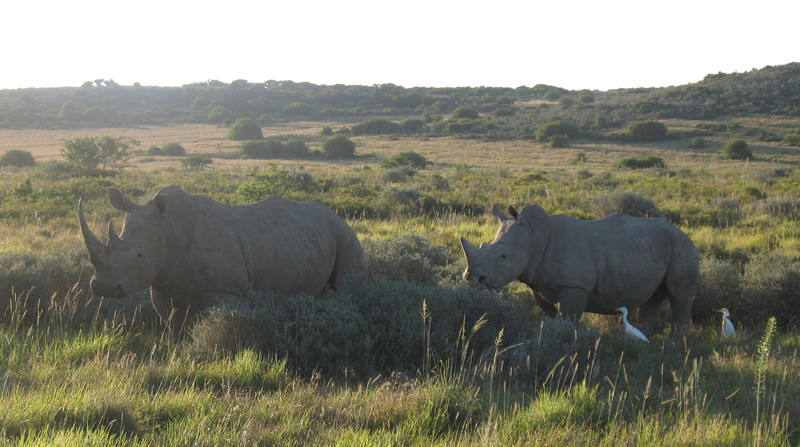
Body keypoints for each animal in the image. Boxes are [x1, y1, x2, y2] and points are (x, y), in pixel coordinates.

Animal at [79, 185, 368, 336]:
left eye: (139, 255)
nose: (102, 287)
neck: (170, 228)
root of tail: (336, 215)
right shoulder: (161, 282)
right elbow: (174, 325)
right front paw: (179, 350)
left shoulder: (222, 289)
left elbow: (219, 323)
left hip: (345, 235)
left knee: (347, 287)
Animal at [460, 204, 698, 336]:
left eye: (503, 256)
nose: (472, 277)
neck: (535, 236)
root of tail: (685, 234)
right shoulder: (541, 284)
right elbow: (556, 315)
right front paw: (559, 334)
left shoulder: (573, 284)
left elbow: (568, 316)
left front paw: (567, 341)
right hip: (655, 247)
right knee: (652, 299)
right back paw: (643, 340)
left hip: (682, 246)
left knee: (680, 296)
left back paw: (677, 344)